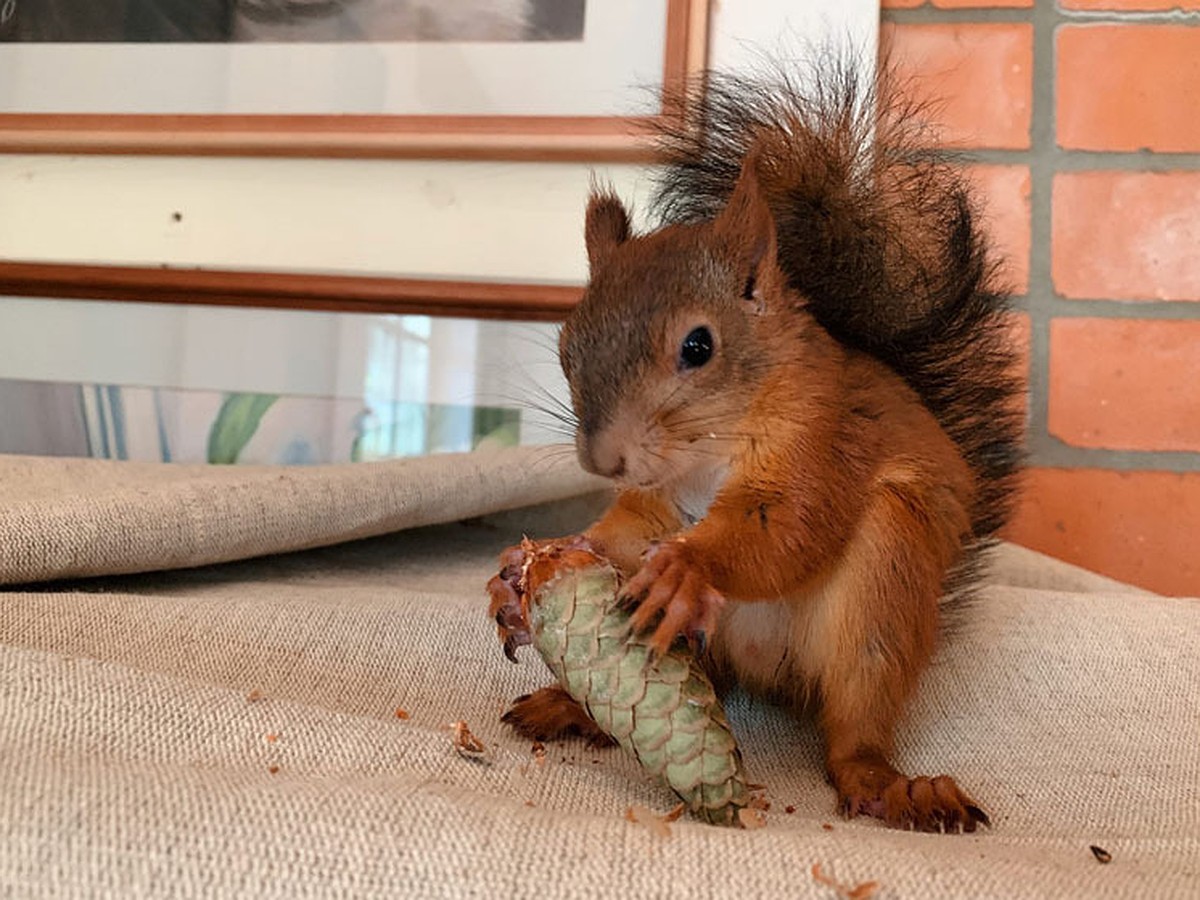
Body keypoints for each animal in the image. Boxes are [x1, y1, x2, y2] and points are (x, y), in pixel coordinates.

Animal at [492, 52, 1027, 835]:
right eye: (566, 346)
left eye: (698, 345)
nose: (603, 460)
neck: (707, 453)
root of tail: (771, 677)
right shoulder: (659, 500)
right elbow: (629, 531)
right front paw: (535, 564)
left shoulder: (824, 440)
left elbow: (790, 527)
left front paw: (689, 568)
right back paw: (572, 708)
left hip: (883, 593)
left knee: (856, 725)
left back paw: (890, 784)